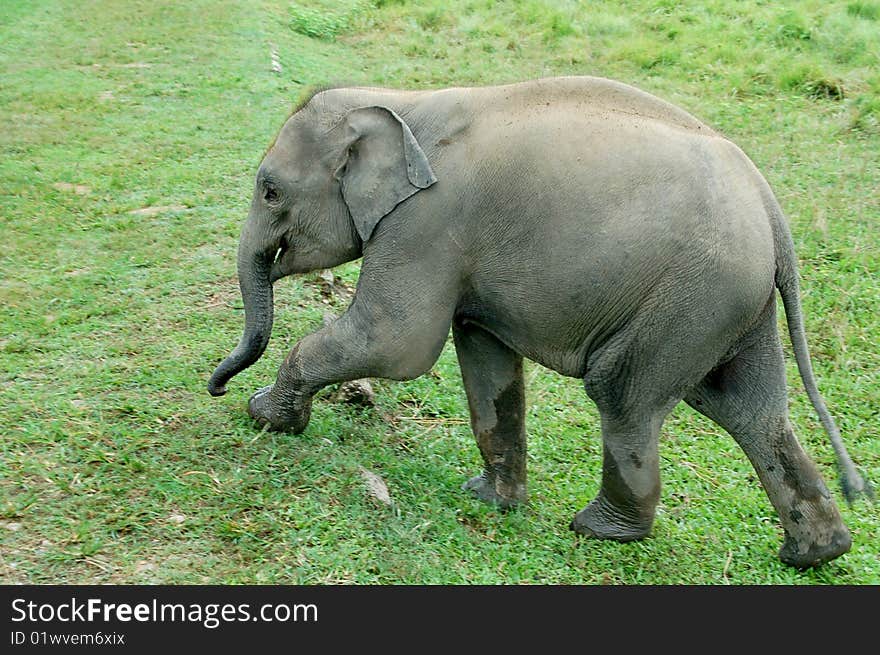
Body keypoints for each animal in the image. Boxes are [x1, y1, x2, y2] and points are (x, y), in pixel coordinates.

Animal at [208, 75, 872, 568]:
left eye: (269, 191)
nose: (216, 386)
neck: (401, 99)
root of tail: (772, 211)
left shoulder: (426, 222)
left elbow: (395, 342)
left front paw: (266, 417)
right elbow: (485, 359)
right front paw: (491, 501)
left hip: (694, 293)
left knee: (623, 393)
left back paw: (600, 530)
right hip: (734, 304)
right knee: (746, 408)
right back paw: (816, 552)